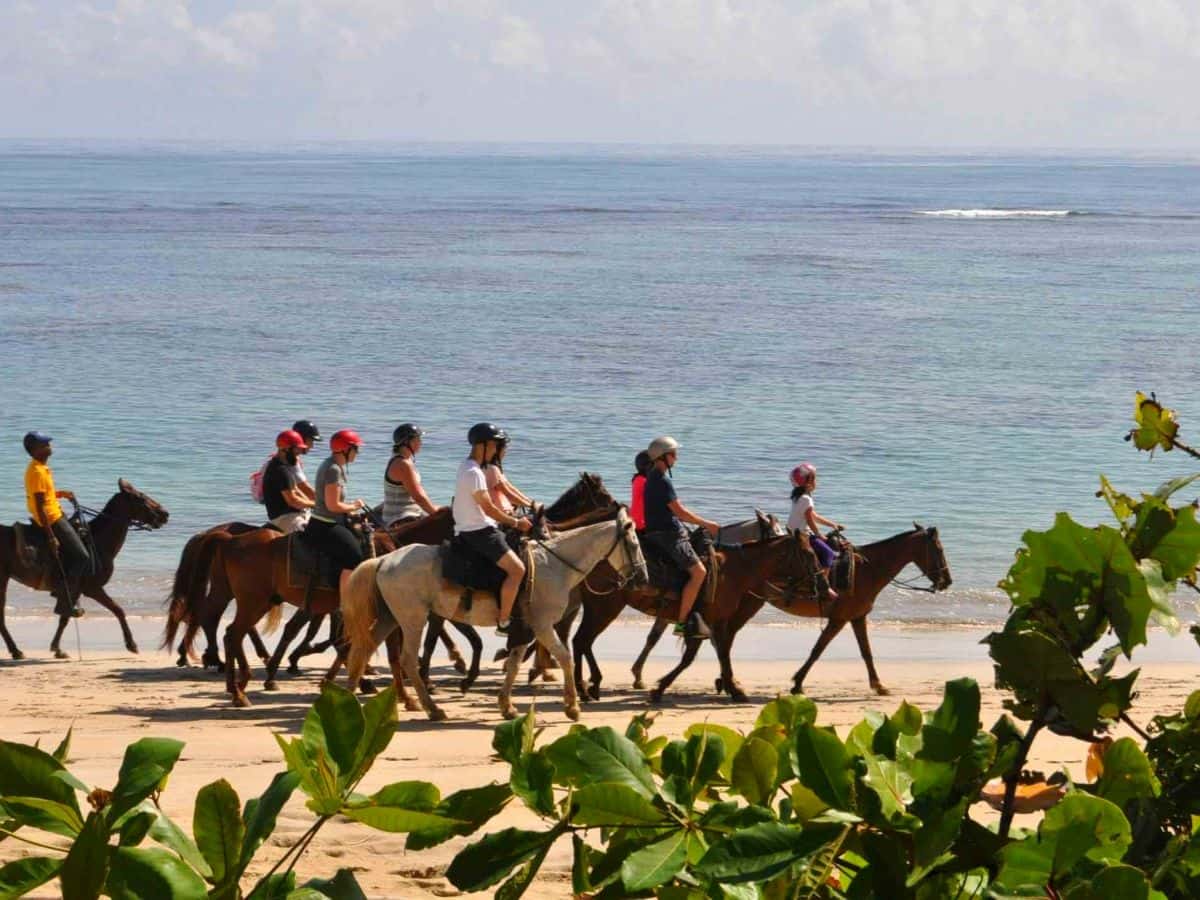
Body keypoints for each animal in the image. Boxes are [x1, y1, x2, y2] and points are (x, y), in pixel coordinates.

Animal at [0, 480, 170, 662]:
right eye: (141, 498)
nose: (165, 514)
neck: (98, 541)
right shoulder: (91, 588)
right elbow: (118, 610)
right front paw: (132, 645)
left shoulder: (76, 591)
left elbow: (65, 619)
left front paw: (57, 649)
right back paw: (16, 651)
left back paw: (16, 650)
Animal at [343, 511, 652, 724]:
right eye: (634, 544)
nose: (643, 578)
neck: (554, 566)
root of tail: (383, 560)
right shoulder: (542, 625)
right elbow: (565, 658)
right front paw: (572, 707)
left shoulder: (525, 628)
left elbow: (514, 665)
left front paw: (507, 706)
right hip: (413, 620)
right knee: (407, 660)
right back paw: (432, 708)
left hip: (390, 619)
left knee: (362, 650)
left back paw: (349, 699)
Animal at [571, 525, 825, 710]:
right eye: (809, 553)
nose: (823, 585)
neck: (734, 571)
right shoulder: (716, 622)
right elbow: (716, 654)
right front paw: (735, 689)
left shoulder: (706, 623)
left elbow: (695, 657)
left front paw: (660, 688)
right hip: (605, 608)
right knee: (582, 640)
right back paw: (587, 687)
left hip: (598, 608)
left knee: (581, 642)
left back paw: (587, 687)